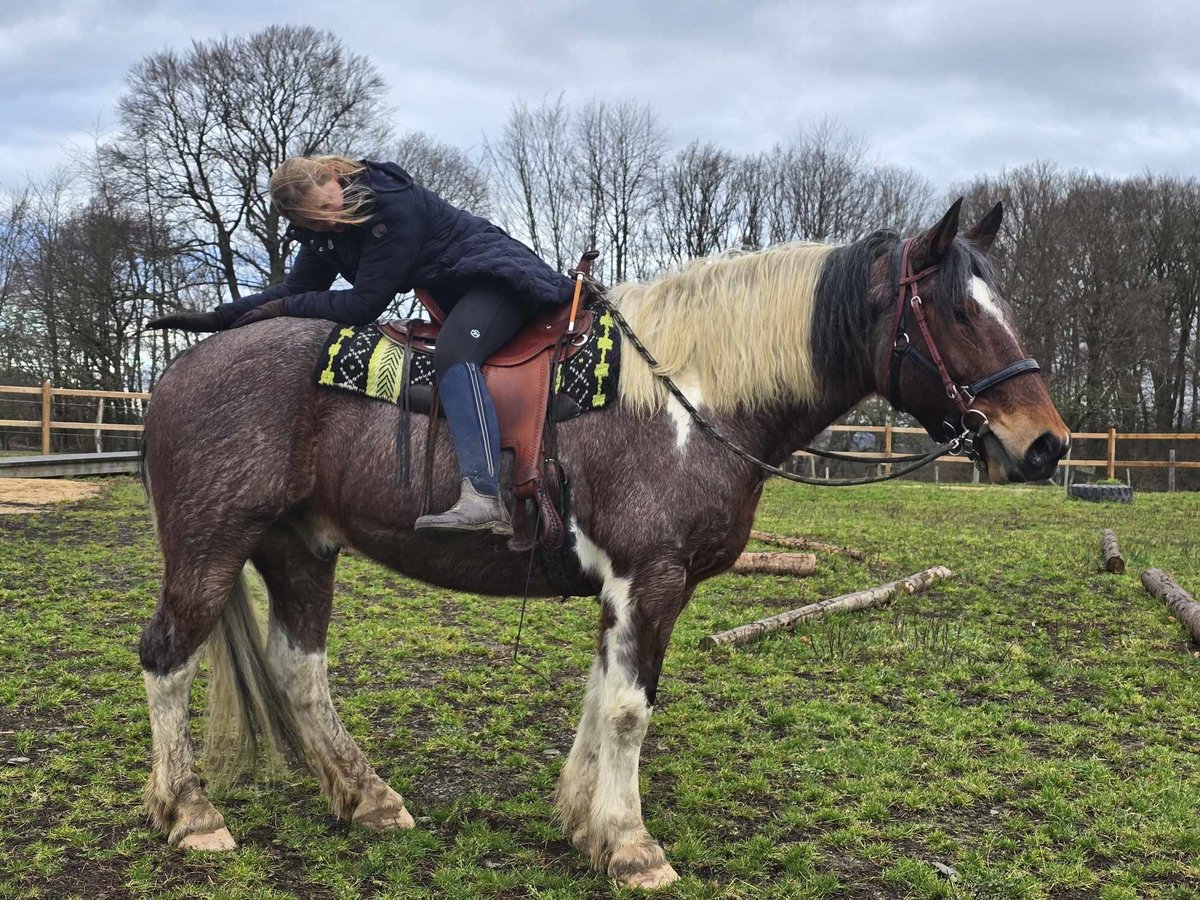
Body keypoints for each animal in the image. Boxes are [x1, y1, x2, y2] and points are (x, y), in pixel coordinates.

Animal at [138, 196, 1070, 888]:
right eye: (956, 312)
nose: (1045, 445)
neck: (688, 401)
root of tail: (181, 366)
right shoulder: (648, 579)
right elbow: (629, 709)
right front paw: (631, 846)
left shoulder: (625, 590)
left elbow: (601, 700)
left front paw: (583, 823)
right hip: (209, 548)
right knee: (166, 658)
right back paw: (192, 814)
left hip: (300, 548)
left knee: (299, 670)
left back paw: (367, 798)